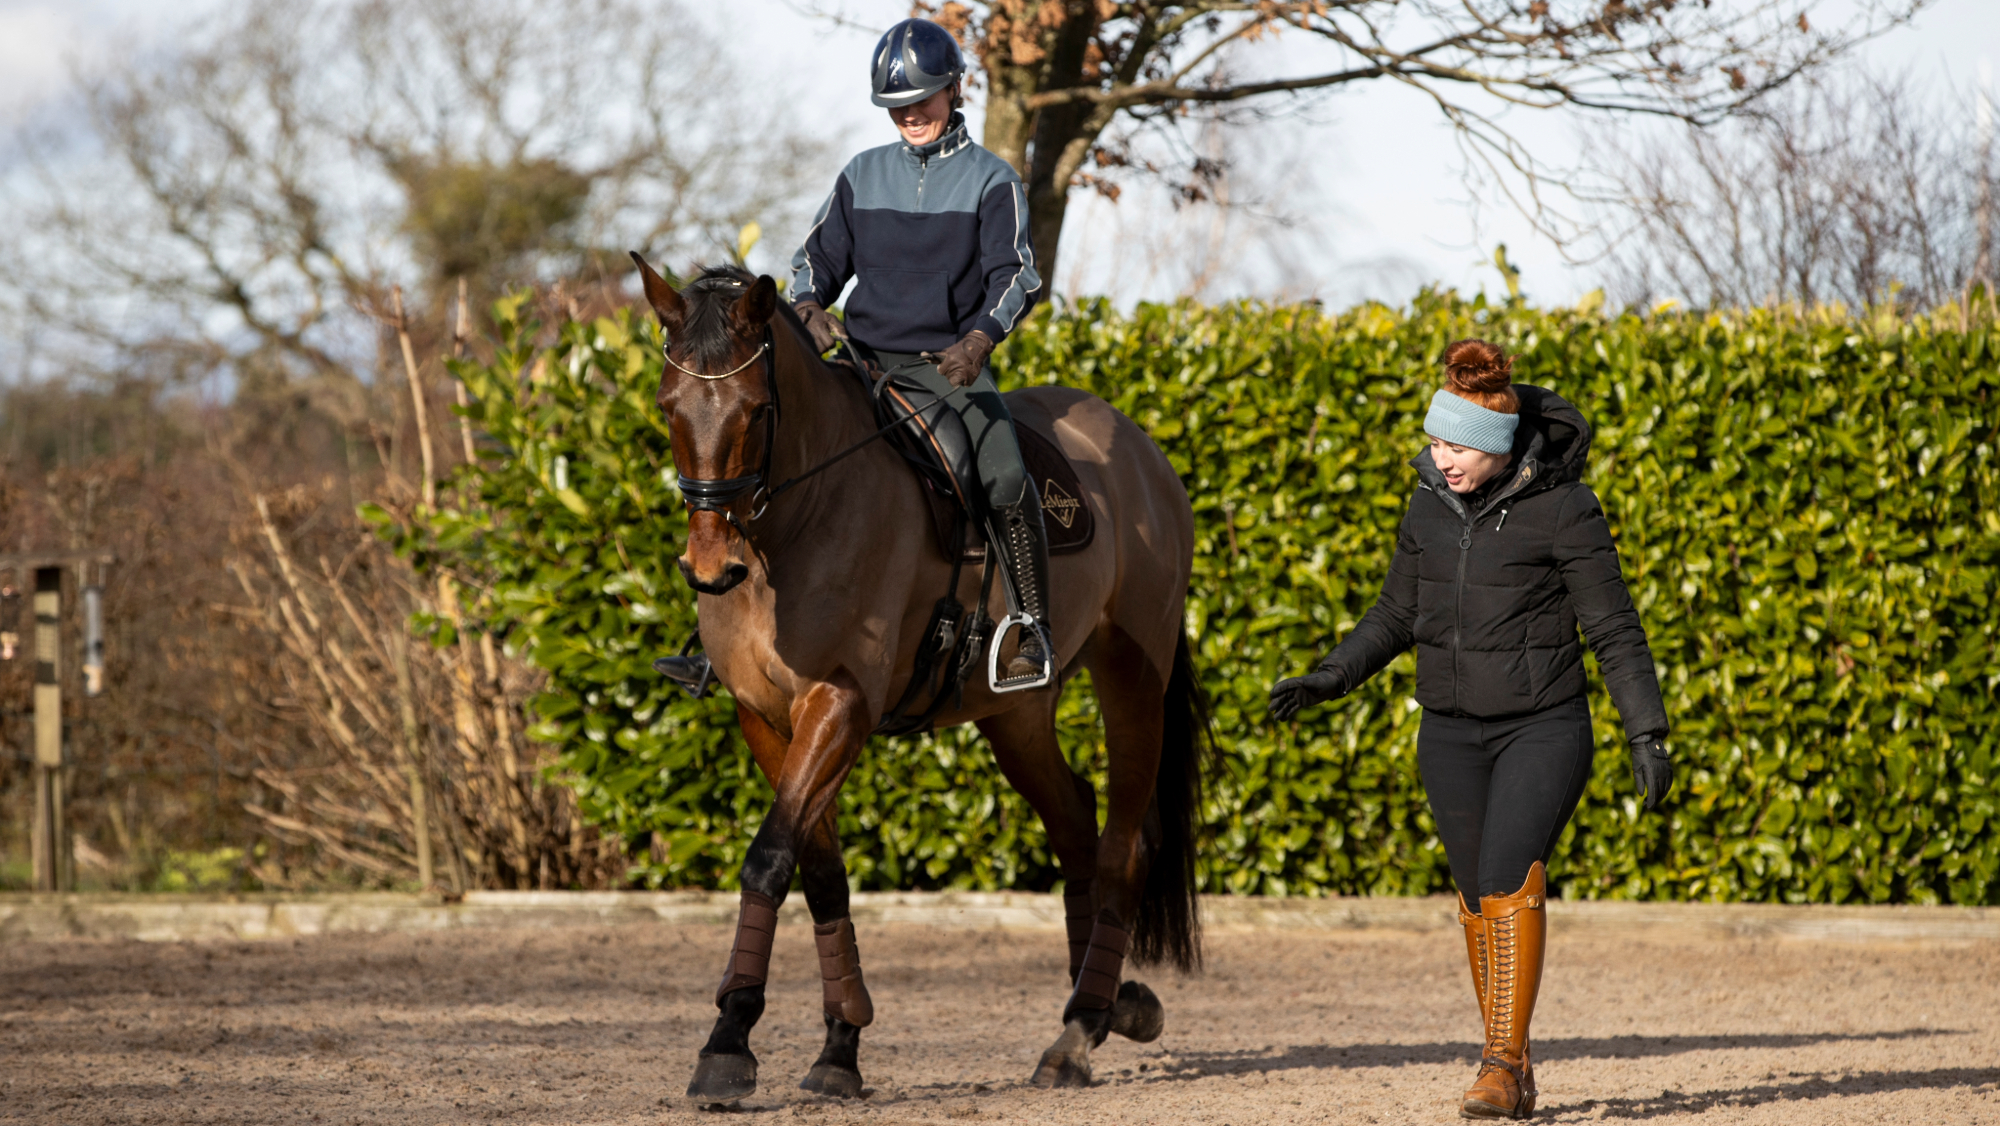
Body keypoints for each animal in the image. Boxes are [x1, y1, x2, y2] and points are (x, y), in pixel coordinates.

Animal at [628, 254, 1209, 1102]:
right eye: (669, 406)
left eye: (757, 411)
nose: (711, 566)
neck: (796, 525)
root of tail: (1142, 452)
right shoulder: (764, 716)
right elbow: (819, 871)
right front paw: (838, 1047)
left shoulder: (840, 702)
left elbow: (768, 857)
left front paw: (728, 1042)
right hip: (1015, 715)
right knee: (1075, 826)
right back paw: (1104, 1008)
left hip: (1132, 674)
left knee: (1122, 847)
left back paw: (1076, 1037)